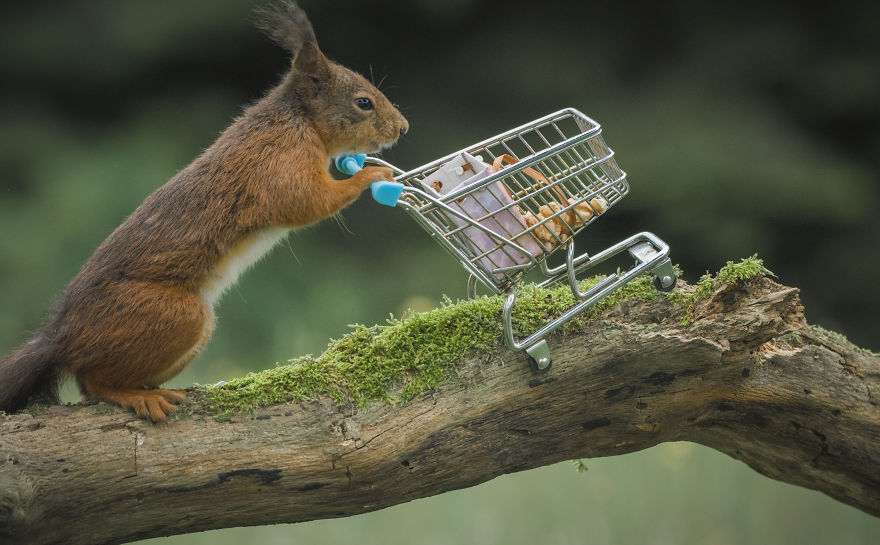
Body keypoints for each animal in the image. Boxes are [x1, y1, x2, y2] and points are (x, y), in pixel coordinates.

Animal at [0, 1, 408, 420]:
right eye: (363, 102)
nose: (403, 128)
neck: (299, 119)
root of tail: (60, 339)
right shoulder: (277, 160)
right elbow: (305, 201)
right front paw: (371, 175)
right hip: (173, 316)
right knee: (91, 382)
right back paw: (137, 396)